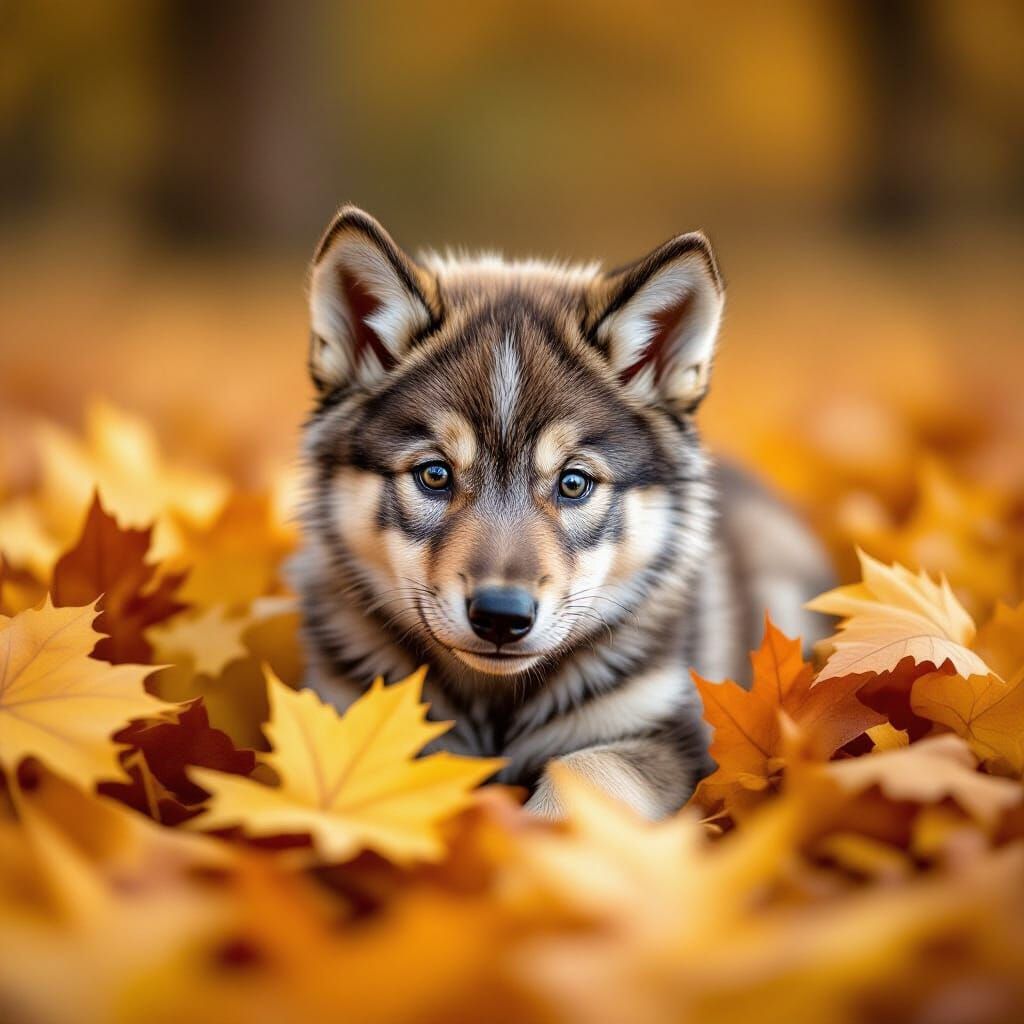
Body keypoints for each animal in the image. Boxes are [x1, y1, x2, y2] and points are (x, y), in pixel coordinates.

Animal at [293, 206, 832, 818]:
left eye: (573, 483)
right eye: (434, 475)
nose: (501, 616)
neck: (496, 704)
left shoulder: (669, 734)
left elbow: (584, 769)